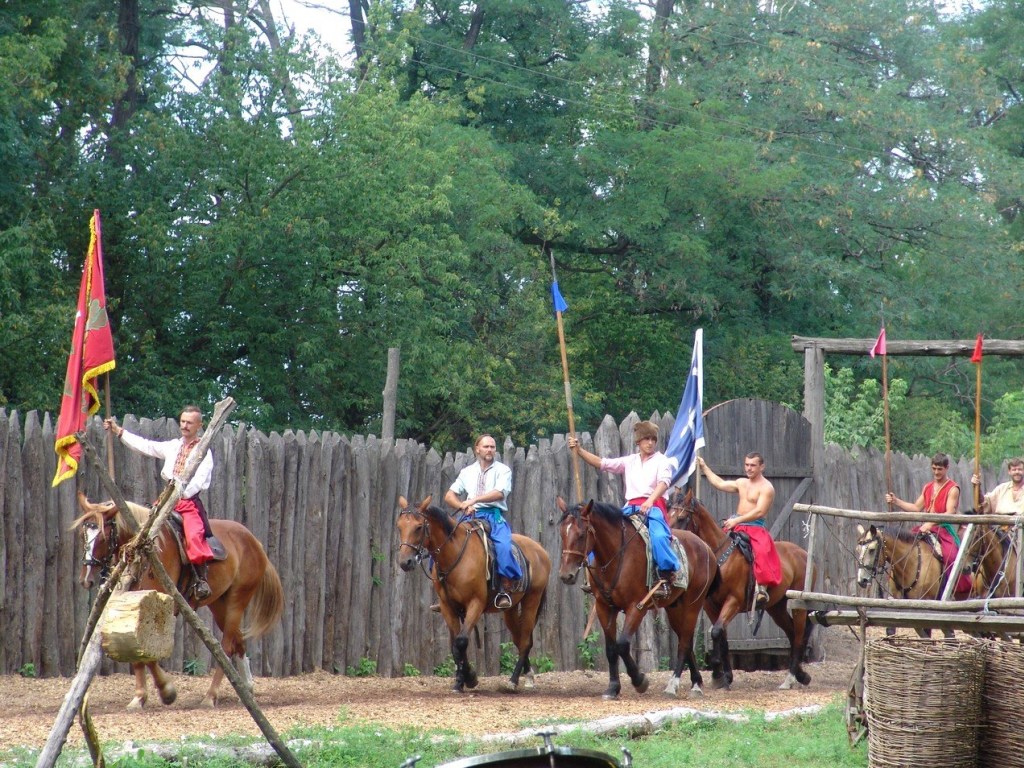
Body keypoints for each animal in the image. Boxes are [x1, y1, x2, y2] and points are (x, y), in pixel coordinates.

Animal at [74, 493, 284, 708]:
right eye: (83, 535)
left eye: (103, 536)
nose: (86, 578)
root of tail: (254, 541)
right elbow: (135, 650)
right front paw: (139, 697)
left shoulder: (163, 608)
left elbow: (148, 653)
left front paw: (167, 690)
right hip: (219, 604)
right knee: (237, 640)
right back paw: (246, 687)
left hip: (237, 599)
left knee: (226, 646)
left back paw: (211, 696)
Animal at [393, 495, 552, 696]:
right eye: (399, 527)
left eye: (419, 527)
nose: (405, 562)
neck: (455, 555)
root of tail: (540, 550)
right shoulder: (447, 607)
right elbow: (455, 645)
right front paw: (461, 681)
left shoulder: (475, 603)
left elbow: (461, 642)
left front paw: (469, 678)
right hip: (511, 609)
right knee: (519, 639)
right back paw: (528, 675)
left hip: (532, 600)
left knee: (524, 642)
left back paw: (513, 681)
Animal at [561, 499, 720, 704]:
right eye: (562, 534)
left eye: (581, 534)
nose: (566, 575)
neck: (617, 555)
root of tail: (705, 547)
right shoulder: (604, 607)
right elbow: (611, 648)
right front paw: (613, 688)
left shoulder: (637, 607)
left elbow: (622, 645)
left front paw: (639, 681)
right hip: (674, 608)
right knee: (686, 640)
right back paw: (696, 683)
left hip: (693, 603)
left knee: (685, 643)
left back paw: (673, 685)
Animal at [671, 489, 815, 696]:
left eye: (681, 518)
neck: (720, 556)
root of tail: (803, 553)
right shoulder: (710, 605)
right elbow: (721, 635)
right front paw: (723, 676)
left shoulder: (733, 601)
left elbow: (716, 632)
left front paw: (720, 673)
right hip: (776, 607)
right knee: (791, 632)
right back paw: (801, 675)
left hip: (799, 606)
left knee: (798, 635)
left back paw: (790, 678)